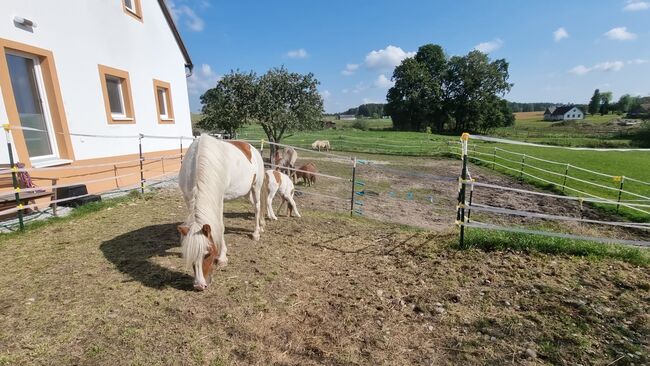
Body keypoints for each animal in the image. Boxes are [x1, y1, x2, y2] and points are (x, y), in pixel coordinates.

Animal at [176, 134, 268, 292]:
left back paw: (256, 233)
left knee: (257, 207)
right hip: (247, 191)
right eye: (189, 255)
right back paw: (261, 225)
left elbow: (220, 227)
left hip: (256, 186)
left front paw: (223, 257)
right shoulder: (188, 199)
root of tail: (252, 148)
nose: (199, 285)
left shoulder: (218, 200)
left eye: (208, 254)